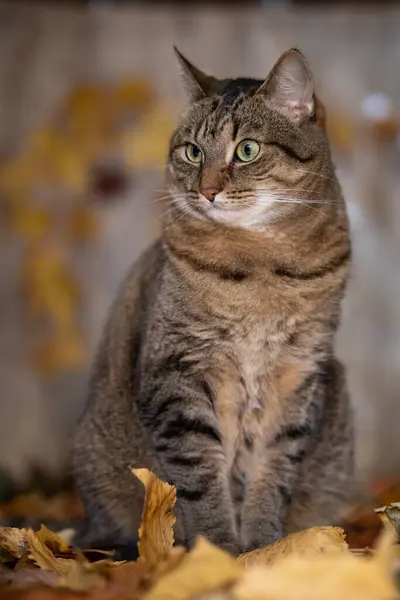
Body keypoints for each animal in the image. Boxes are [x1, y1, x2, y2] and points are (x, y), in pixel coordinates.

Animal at [72, 48, 354, 556]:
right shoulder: (177, 374)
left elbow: (274, 472)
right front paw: (217, 555)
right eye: (193, 151)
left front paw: (264, 552)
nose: (206, 190)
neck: (262, 268)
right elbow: (200, 480)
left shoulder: (300, 374)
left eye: (247, 150)